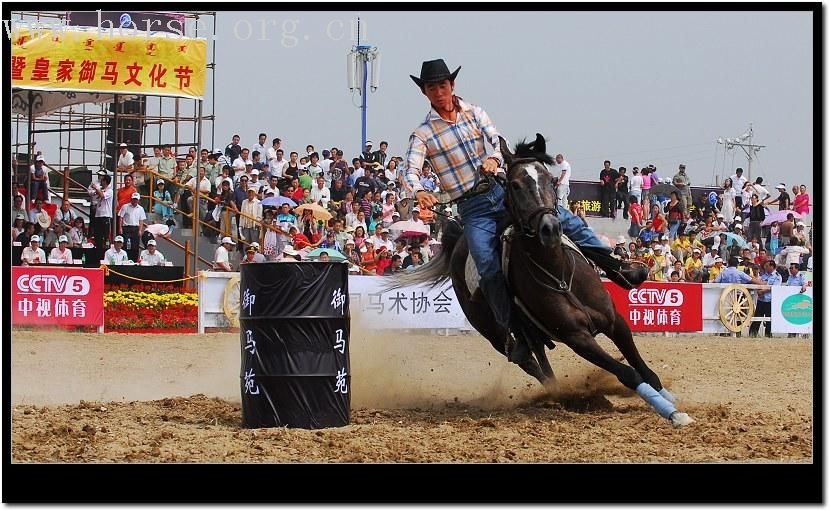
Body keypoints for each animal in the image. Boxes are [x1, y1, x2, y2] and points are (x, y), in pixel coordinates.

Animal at [390, 135, 696, 428]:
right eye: (514, 185)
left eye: (549, 178)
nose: (550, 228)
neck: (558, 273)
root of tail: (456, 239)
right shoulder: (577, 338)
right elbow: (628, 373)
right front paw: (672, 413)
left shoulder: (615, 321)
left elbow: (643, 368)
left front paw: (669, 398)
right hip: (494, 332)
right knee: (527, 360)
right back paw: (563, 396)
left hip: (531, 332)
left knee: (540, 361)